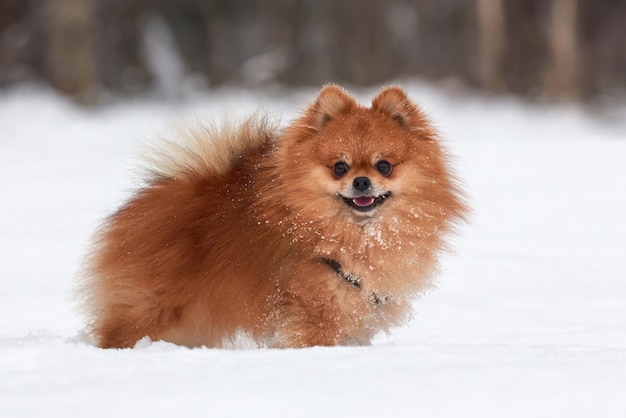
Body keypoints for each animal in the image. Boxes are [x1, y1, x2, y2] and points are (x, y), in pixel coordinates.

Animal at [80, 83, 466, 348]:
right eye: (339, 167)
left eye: (383, 165)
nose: (361, 181)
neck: (355, 234)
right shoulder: (316, 309)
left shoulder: (360, 311)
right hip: (151, 308)